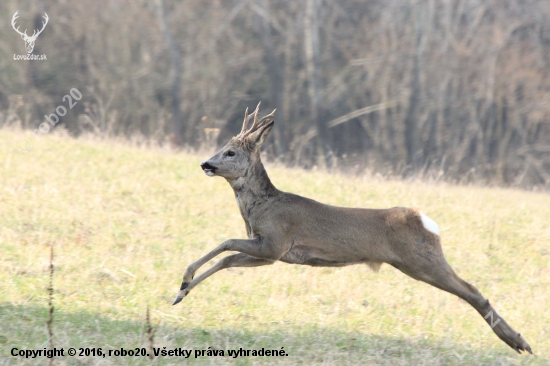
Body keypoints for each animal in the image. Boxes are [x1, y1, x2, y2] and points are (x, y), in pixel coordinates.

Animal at [174, 103, 536, 354]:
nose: (206, 163)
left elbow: (225, 244)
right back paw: (519, 342)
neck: (261, 208)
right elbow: (226, 259)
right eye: (221, 148)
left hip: (422, 260)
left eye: (230, 152)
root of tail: (424, 220)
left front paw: (183, 282)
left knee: (472, 290)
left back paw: (520, 342)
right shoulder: (269, 253)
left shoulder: (275, 243)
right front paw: (182, 291)